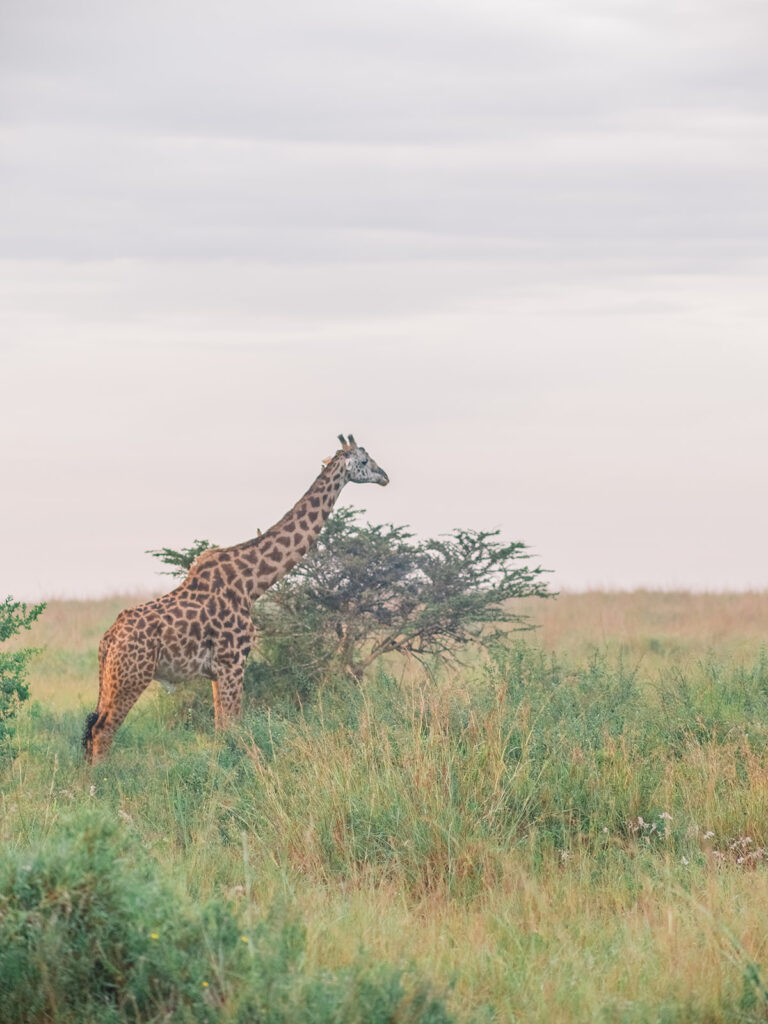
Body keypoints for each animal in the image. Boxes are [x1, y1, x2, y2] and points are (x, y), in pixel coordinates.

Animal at [83, 436, 391, 765]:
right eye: (364, 460)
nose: (385, 476)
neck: (250, 583)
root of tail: (108, 639)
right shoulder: (233, 662)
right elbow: (232, 727)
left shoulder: (217, 671)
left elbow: (223, 728)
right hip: (132, 676)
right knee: (103, 730)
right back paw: (102, 777)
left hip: (112, 678)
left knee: (91, 730)